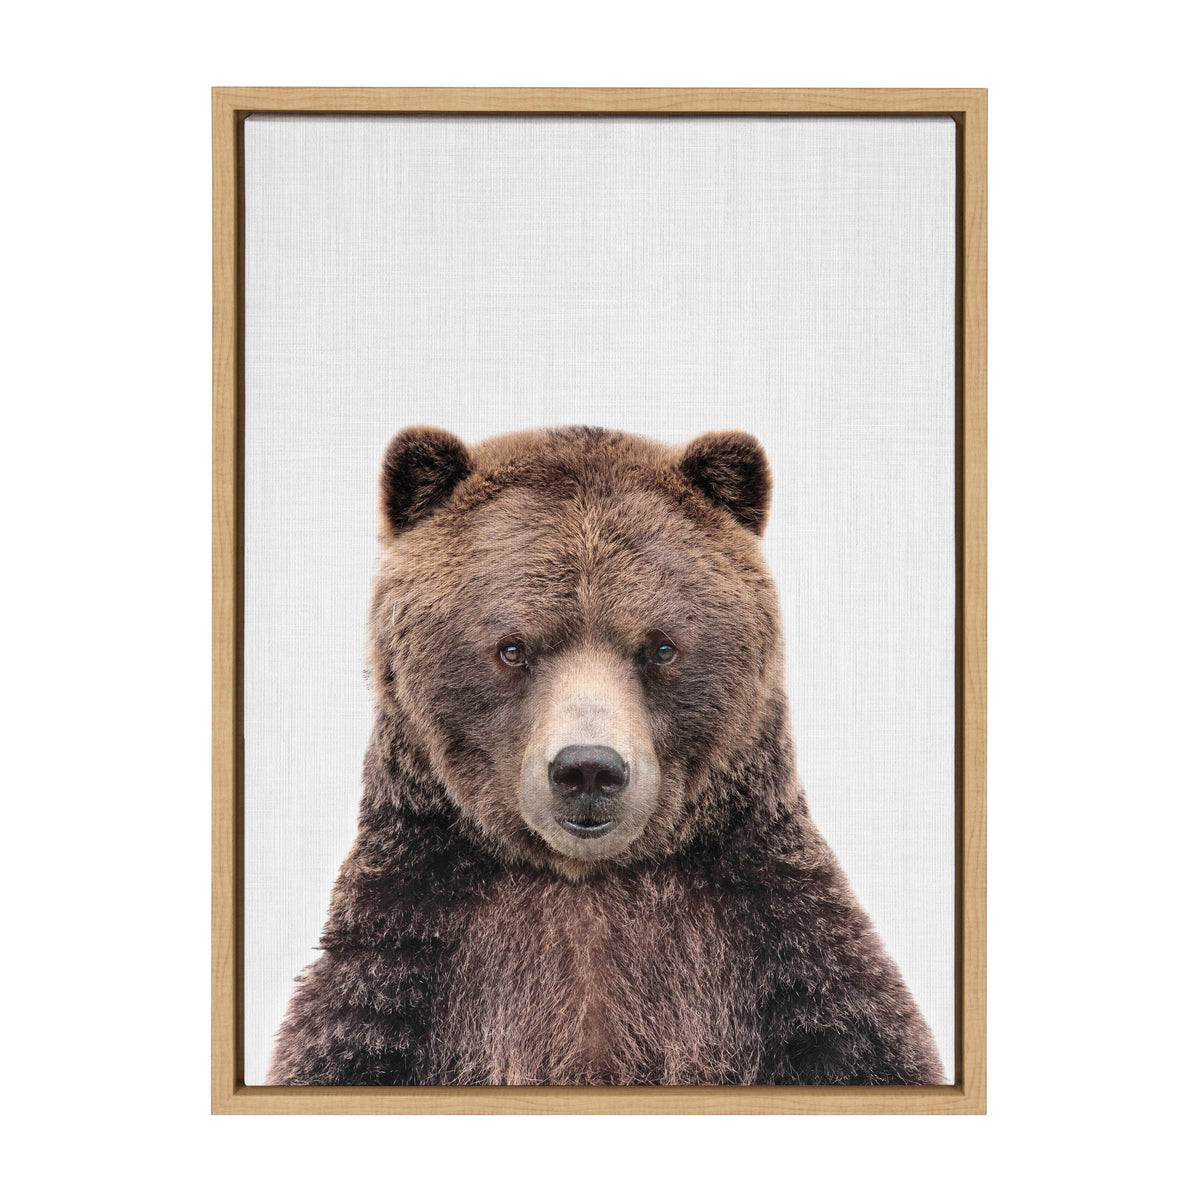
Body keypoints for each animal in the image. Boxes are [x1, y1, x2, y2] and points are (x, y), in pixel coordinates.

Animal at [267, 425, 944, 1086]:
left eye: (661, 647)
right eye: (512, 647)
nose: (588, 769)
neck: (586, 880)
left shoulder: (784, 953)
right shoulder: (403, 961)